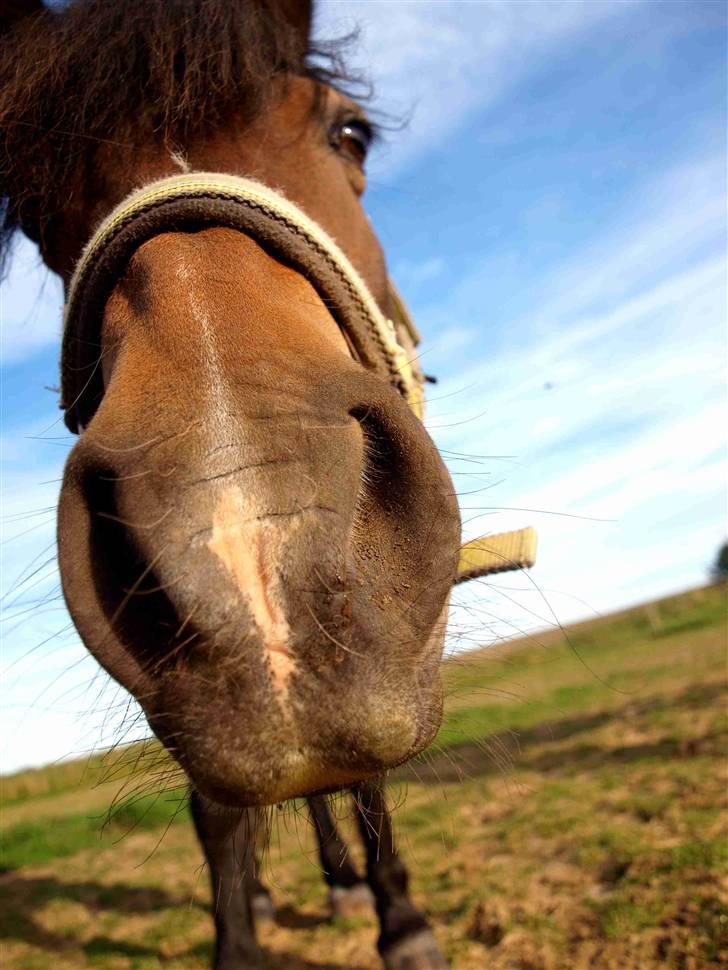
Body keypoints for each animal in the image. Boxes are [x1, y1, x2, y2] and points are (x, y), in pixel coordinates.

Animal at [0, 1, 536, 968]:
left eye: (349, 134)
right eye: (32, 213)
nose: (253, 526)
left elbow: (364, 782)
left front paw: (402, 922)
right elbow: (220, 812)